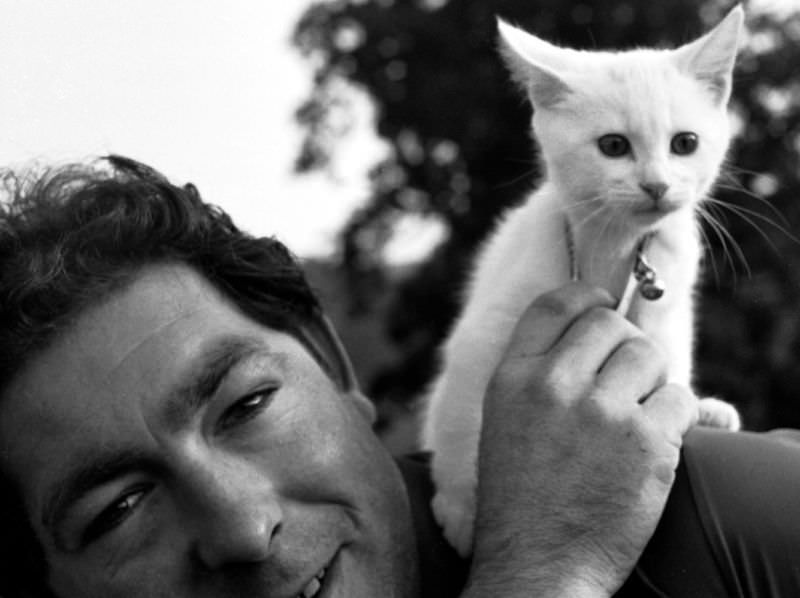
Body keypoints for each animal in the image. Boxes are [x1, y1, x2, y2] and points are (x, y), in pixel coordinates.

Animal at [424, 5, 744, 556]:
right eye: (613, 146)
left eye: (685, 144)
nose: (656, 185)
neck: (611, 247)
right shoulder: (486, 331)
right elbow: (464, 409)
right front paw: (465, 506)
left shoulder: (666, 305)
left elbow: (672, 361)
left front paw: (694, 407)